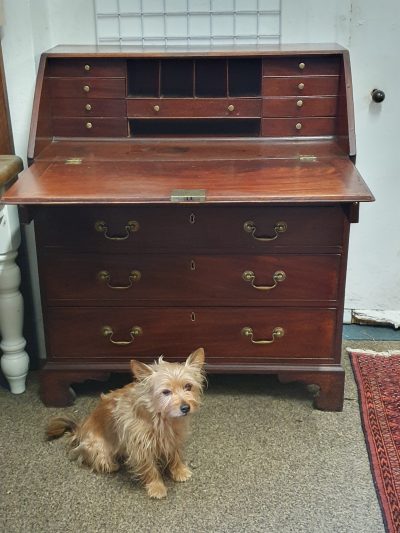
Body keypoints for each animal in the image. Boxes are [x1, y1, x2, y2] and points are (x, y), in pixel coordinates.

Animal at [46, 348, 206, 496]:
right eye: (166, 392)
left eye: (188, 386)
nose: (186, 408)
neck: (160, 417)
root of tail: (79, 430)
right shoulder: (141, 447)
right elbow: (149, 468)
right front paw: (156, 486)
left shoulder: (174, 438)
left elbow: (175, 455)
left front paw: (179, 470)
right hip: (98, 447)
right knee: (94, 458)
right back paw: (111, 465)